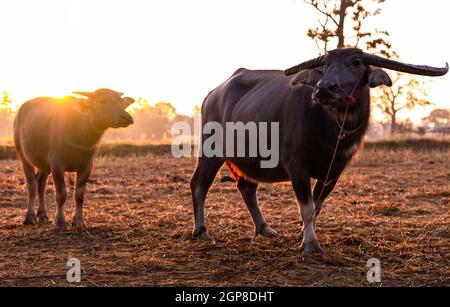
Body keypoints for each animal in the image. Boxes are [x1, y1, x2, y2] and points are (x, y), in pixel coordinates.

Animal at [13, 88, 134, 229]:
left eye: (120, 101)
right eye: (102, 101)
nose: (127, 117)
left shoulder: (87, 166)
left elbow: (79, 194)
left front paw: (78, 221)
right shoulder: (57, 165)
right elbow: (61, 194)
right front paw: (59, 222)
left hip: (44, 164)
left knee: (41, 183)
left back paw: (42, 214)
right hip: (23, 155)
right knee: (31, 184)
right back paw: (29, 217)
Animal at [190, 48, 446, 255]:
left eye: (356, 62)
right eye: (325, 64)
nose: (324, 89)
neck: (332, 130)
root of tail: (212, 94)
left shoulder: (334, 172)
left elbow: (317, 206)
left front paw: (304, 235)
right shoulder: (297, 168)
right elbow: (307, 207)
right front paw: (310, 244)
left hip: (248, 160)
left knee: (246, 187)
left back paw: (264, 228)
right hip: (210, 150)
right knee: (199, 184)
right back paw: (201, 230)